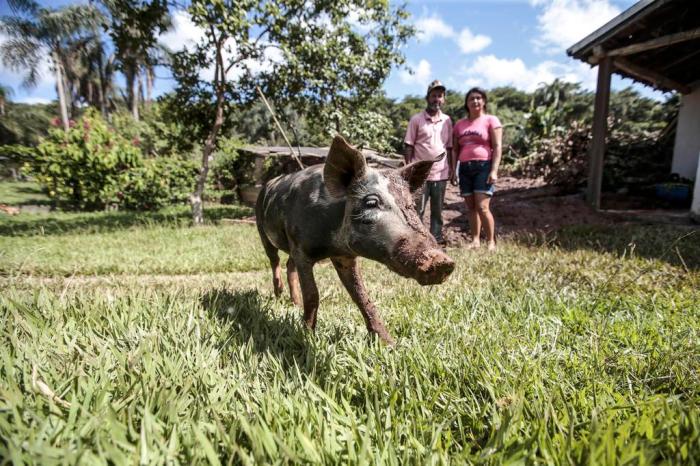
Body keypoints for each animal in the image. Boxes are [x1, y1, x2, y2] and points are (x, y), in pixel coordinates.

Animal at [256, 135, 454, 346]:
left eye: (410, 206)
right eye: (371, 202)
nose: (442, 261)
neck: (331, 244)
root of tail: (267, 184)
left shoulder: (344, 257)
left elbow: (361, 296)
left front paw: (390, 344)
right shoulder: (302, 250)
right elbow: (312, 295)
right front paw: (306, 338)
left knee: (288, 264)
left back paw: (295, 303)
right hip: (262, 229)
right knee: (274, 260)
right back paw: (278, 295)